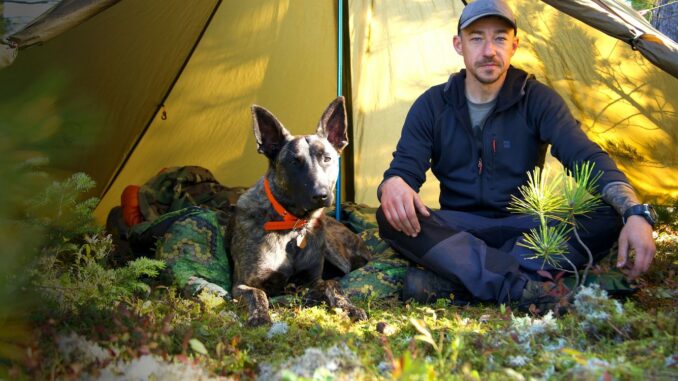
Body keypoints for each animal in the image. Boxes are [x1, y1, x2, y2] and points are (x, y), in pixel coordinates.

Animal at [232, 96, 372, 326]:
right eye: (293, 162)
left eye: (327, 158)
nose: (321, 195)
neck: (292, 225)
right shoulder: (242, 284)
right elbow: (257, 294)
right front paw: (259, 315)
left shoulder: (312, 281)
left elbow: (332, 284)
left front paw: (349, 307)